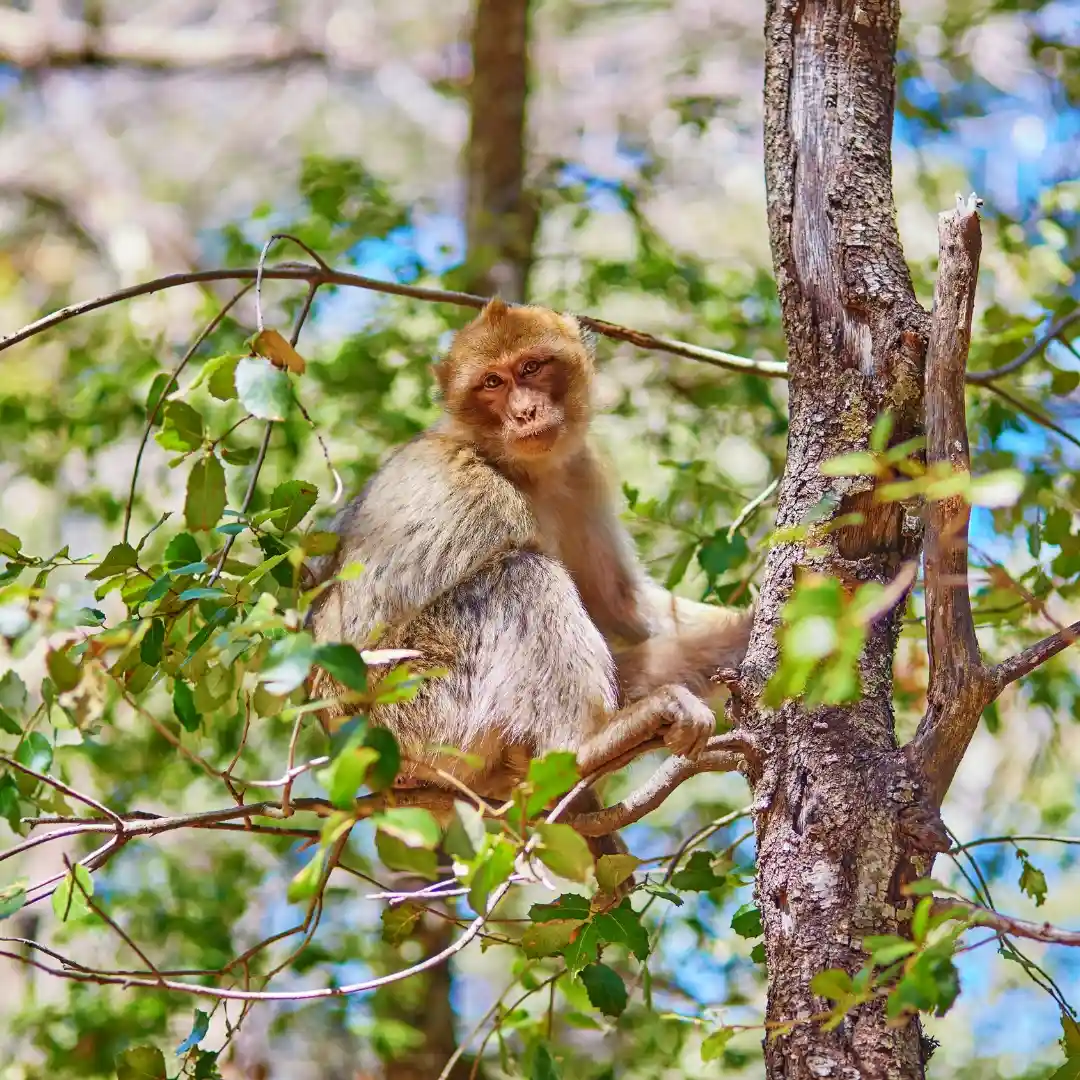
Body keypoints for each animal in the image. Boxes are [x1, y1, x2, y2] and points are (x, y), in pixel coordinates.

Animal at [306, 298, 752, 843]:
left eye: (532, 368)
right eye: (492, 383)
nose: (524, 412)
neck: (517, 467)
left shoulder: (580, 472)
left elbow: (623, 607)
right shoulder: (479, 494)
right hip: (416, 718)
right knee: (520, 575)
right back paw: (585, 748)